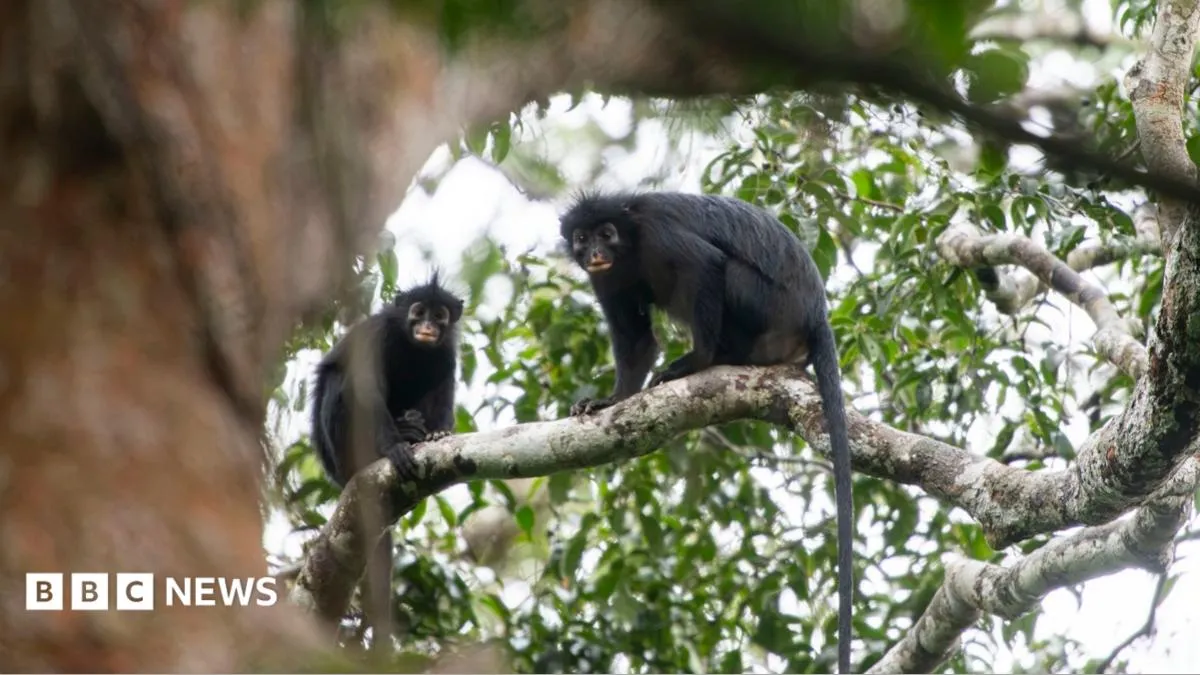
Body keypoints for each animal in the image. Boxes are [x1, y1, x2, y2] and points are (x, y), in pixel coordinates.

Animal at [310, 272, 463, 653]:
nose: (427, 326)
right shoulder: (377, 336)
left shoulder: (446, 351)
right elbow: (366, 389)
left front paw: (438, 434)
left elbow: (444, 383)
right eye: (418, 311)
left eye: (439, 315)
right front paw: (394, 448)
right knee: (341, 380)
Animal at [560, 191, 855, 673]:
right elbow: (636, 341)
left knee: (726, 271)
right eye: (583, 239)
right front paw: (611, 401)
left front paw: (696, 361)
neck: (631, 244)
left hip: (767, 306)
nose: (596, 252)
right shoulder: (606, 279)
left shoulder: (658, 233)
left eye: (607, 233)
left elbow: (706, 266)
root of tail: (816, 313)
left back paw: (717, 356)